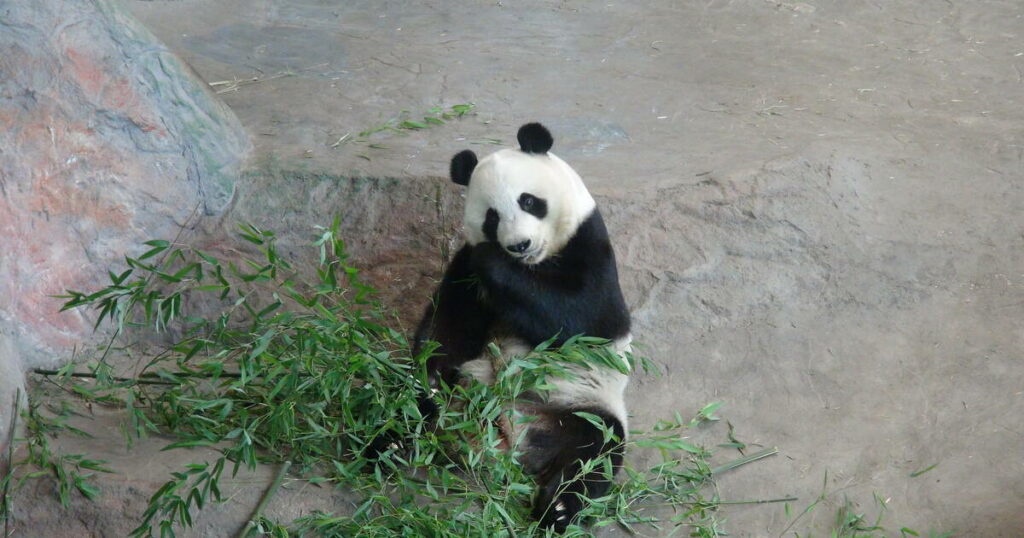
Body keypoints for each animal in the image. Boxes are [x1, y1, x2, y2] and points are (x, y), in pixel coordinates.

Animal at [411, 120, 626, 528]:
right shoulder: (463, 271)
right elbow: (450, 327)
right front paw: (429, 378)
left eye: (528, 201)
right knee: (406, 415)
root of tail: (510, 442)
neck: (532, 265)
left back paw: (557, 510)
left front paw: (496, 262)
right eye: (492, 217)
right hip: (466, 394)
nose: (519, 244)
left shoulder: (590, 247)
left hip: (578, 403)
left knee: (596, 449)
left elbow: (579, 318)